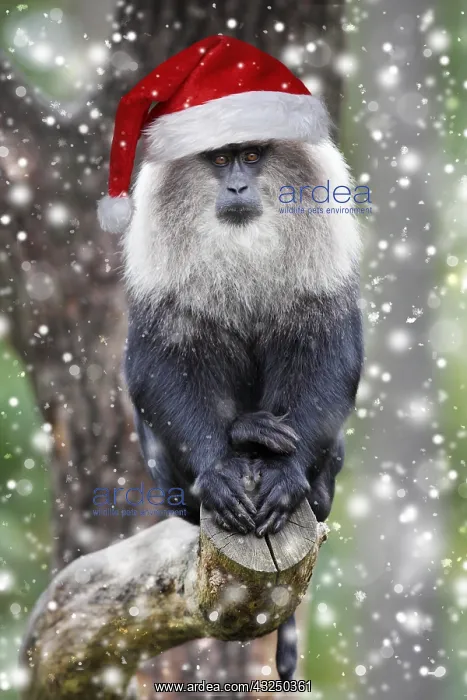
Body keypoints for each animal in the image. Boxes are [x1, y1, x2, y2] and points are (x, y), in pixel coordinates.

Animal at [122, 137, 363, 681]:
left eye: (251, 157)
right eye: (218, 159)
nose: (236, 186)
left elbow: (333, 356)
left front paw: (286, 477)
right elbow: (155, 369)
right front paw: (217, 475)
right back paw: (246, 436)